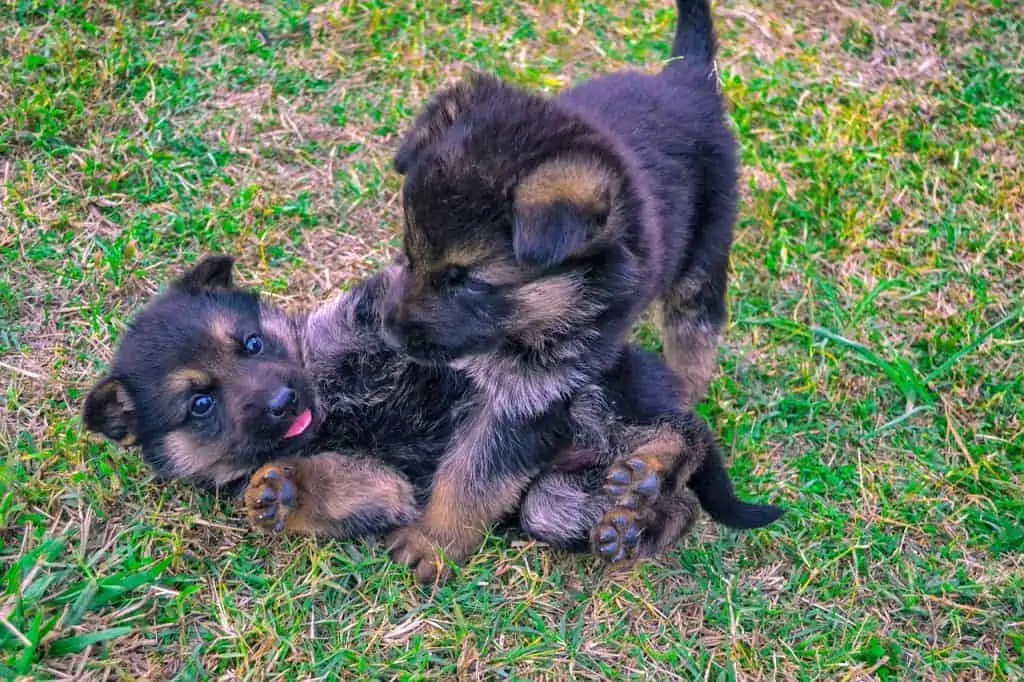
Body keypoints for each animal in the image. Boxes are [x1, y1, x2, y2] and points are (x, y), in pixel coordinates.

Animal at [86, 254, 782, 577]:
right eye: (200, 404)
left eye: (252, 344)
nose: (285, 403)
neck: (333, 405)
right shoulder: (386, 483)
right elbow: (351, 488)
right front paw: (286, 494)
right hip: (556, 498)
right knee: (670, 505)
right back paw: (637, 517)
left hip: (601, 399)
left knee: (683, 435)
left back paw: (653, 465)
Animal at [380, 0, 741, 577]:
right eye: (409, 254)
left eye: (467, 282)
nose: (389, 333)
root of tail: (683, 78)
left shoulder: (534, 394)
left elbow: (473, 474)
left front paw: (432, 541)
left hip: (702, 254)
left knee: (694, 338)